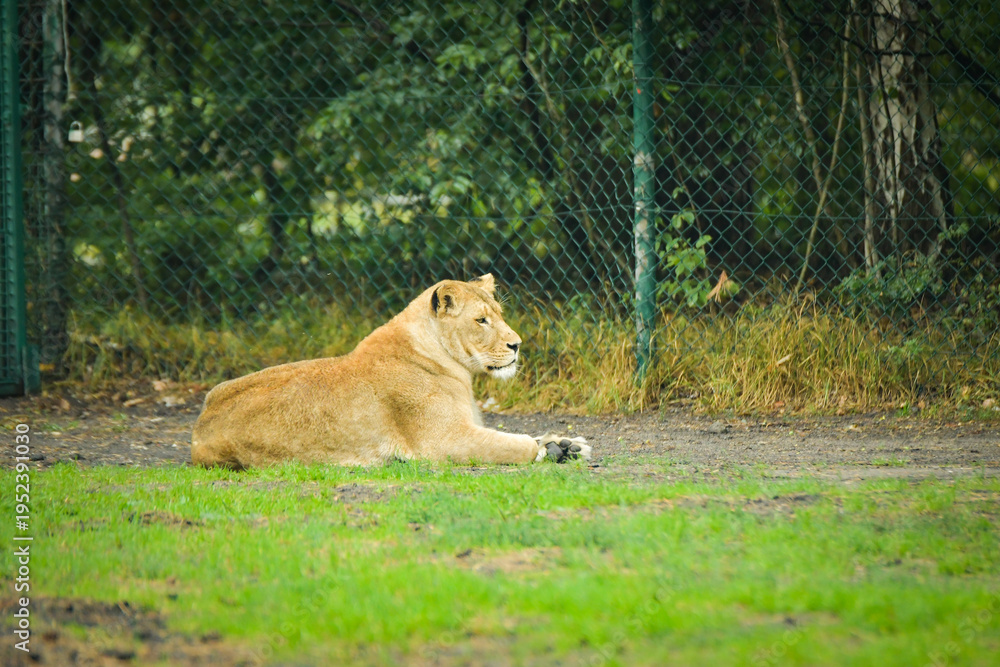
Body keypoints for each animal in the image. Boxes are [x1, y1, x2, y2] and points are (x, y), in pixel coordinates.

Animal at [191, 274, 590, 468]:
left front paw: (565, 445)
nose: (517, 345)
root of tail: (198, 426)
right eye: (481, 320)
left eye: (500, 315)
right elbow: (513, 444)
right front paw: (549, 451)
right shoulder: (443, 440)